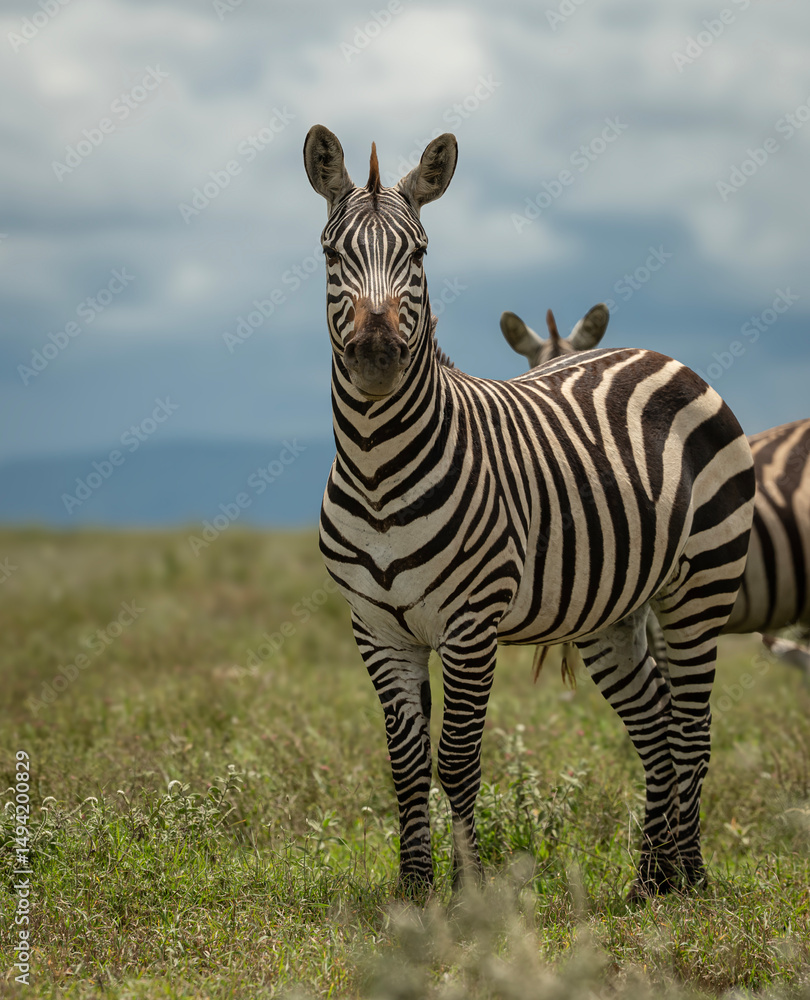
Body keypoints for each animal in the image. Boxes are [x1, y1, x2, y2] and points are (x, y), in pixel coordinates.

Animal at [303, 124, 756, 898]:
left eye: (419, 254)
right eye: (333, 254)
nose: (376, 357)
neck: (377, 470)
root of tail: (658, 353)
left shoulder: (471, 622)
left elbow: (456, 759)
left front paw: (469, 892)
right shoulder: (376, 628)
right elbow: (404, 764)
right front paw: (413, 892)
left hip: (702, 585)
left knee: (692, 727)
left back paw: (692, 878)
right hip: (613, 611)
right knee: (656, 726)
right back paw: (650, 881)